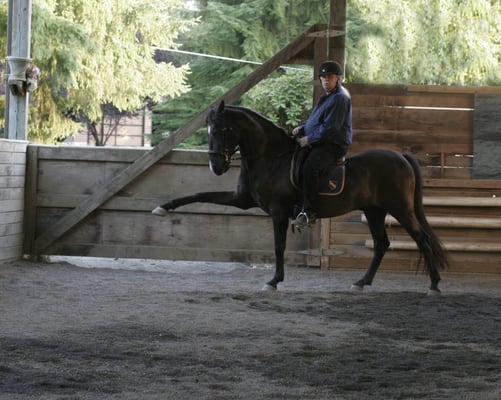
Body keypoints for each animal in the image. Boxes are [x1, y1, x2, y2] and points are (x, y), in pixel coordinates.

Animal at [151, 100, 446, 294]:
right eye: (209, 130)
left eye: (223, 130)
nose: (217, 166)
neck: (270, 157)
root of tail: (401, 157)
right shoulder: (241, 200)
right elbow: (200, 193)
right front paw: (163, 208)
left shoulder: (279, 210)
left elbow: (278, 246)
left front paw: (273, 281)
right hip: (374, 210)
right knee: (382, 244)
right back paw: (361, 283)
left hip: (400, 208)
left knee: (421, 239)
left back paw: (434, 285)